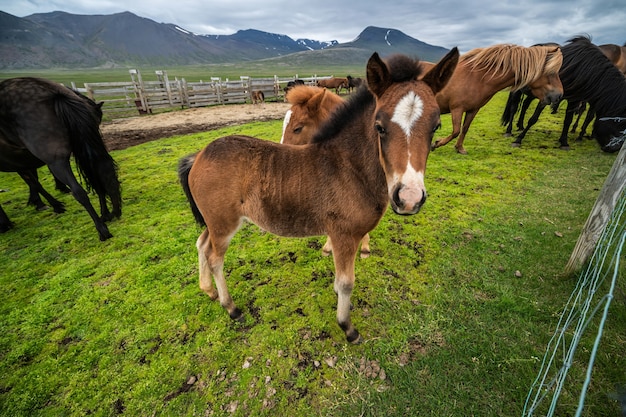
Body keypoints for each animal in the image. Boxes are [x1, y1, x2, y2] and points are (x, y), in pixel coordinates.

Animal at [0, 76, 121, 239]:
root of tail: (55, 93)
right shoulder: (21, 163)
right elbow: (34, 182)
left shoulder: (24, 163)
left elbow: (34, 183)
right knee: (96, 176)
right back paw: (107, 215)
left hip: (55, 159)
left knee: (79, 191)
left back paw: (102, 230)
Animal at [426, 43, 564, 154]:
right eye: (551, 72)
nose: (559, 95)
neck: (475, 78)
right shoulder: (457, 109)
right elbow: (456, 130)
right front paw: (436, 144)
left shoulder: (473, 110)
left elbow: (464, 129)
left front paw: (459, 148)